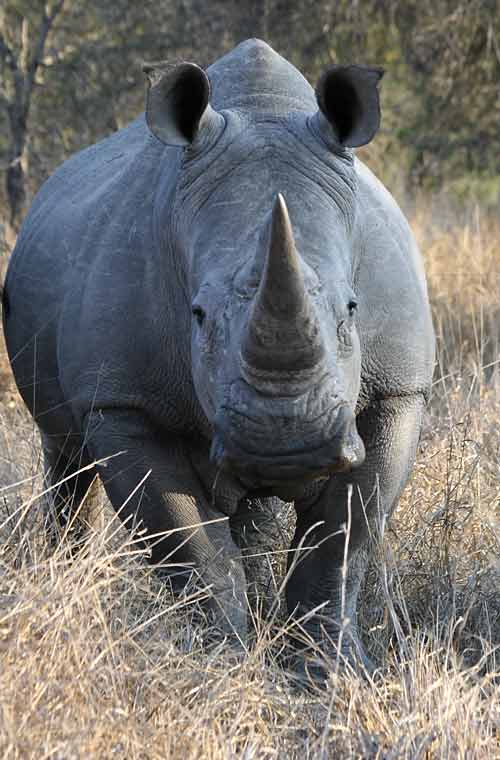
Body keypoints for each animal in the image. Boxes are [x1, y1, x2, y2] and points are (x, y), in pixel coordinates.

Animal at [1, 40, 434, 672]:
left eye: (353, 309)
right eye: (198, 315)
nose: (286, 444)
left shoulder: (397, 388)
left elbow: (346, 536)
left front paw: (331, 671)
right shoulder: (124, 402)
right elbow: (190, 545)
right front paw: (219, 665)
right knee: (66, 453)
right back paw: (61, 568)